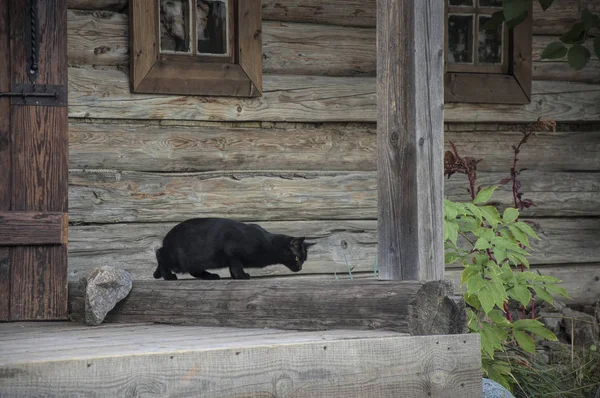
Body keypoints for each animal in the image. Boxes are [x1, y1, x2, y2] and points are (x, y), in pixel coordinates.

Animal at [154, 218, 314, 280]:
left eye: (303, 260)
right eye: (297, 258)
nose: (300, 268)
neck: (268, 242)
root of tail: (166, 240)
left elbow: (233, 267)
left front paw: (235, 276)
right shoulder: (231, 250)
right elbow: (236, 265)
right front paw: (242, 276)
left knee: (194, 271)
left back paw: (210, 276)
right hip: (177, 259)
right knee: (159, 254)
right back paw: (168, 276)